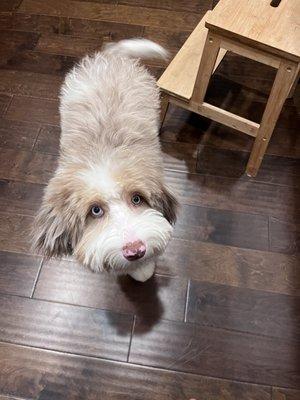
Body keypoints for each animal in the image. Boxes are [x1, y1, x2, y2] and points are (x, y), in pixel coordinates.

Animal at [32, 37, 178, 282]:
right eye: (95, 210)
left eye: (137, 199)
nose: (135, 250)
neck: (103, 154)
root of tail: (112, 58)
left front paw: (143, 269)